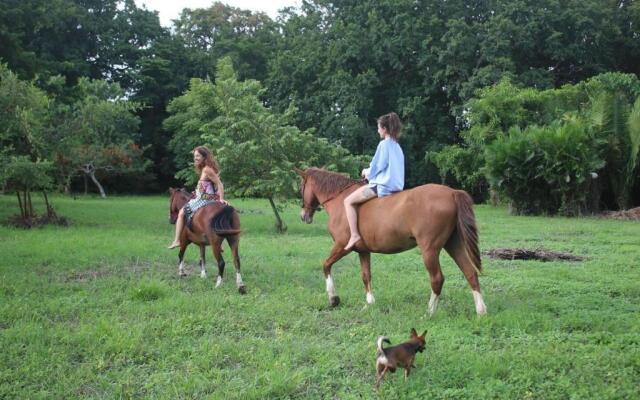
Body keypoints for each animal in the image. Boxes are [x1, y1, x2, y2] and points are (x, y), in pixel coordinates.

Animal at [298, 168, 488, 316]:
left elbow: (326, 266)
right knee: (470, 273)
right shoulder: (363, 251)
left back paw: (429, 312)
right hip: (453, 244)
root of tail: (451, 192)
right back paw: (481, 311)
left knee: (437, 279)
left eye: (301, 187)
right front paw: (370, 303)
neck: (340, 200)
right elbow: (366, 276)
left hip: (430, 249)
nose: (303, 216)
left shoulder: (341, 246)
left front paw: (333, 299)